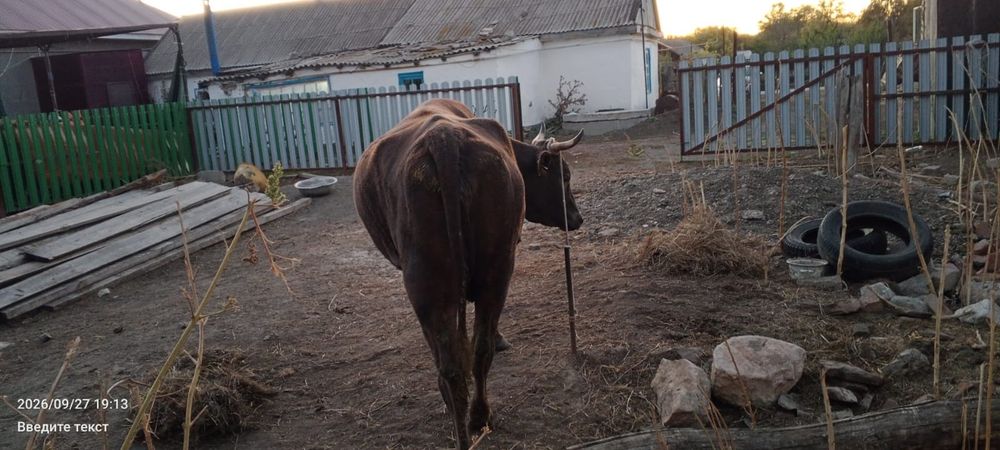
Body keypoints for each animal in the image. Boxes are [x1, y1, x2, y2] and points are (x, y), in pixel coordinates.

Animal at [353, 99, 583, 448]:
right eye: (565, 176)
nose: (578, 218)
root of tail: (444, 139)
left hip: (430, 284)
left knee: (456, 361)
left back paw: (465, 416)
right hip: (492, 271)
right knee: (473, 351)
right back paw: (476, 417)